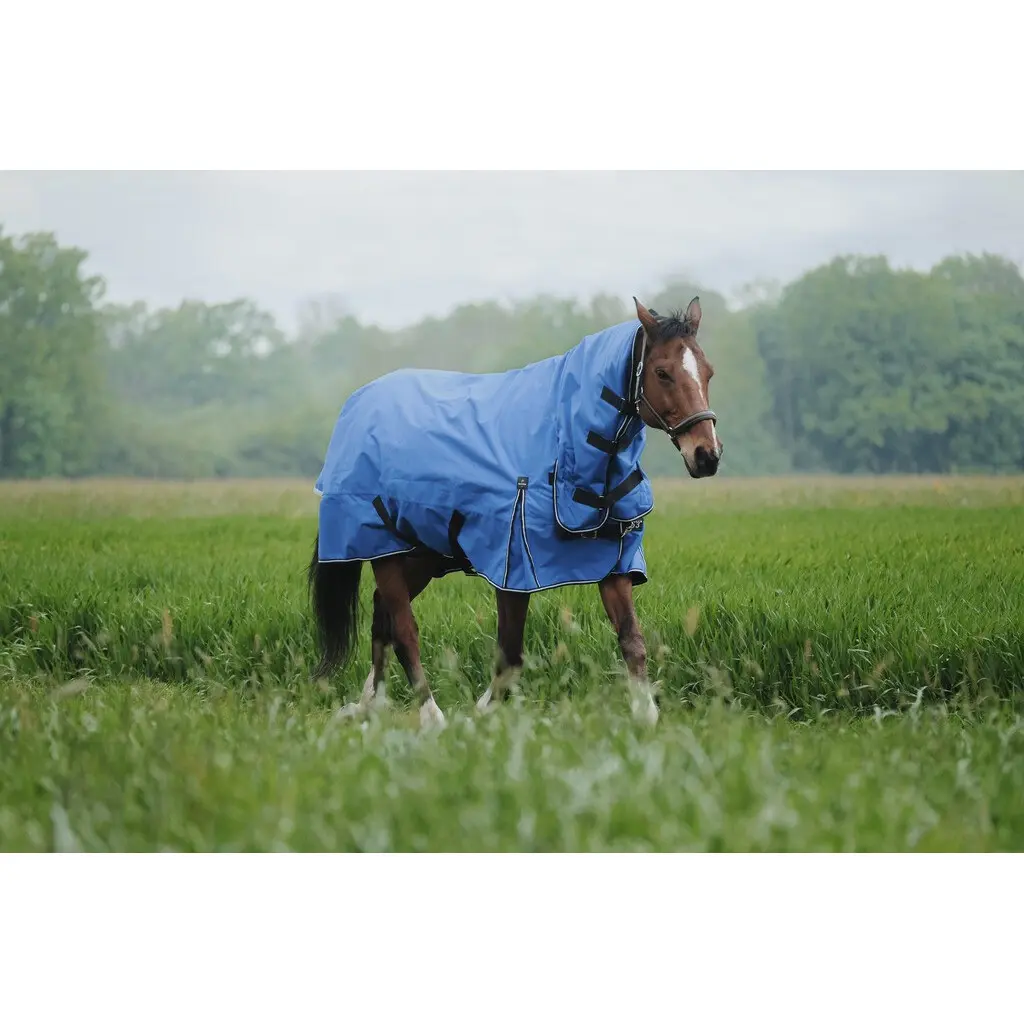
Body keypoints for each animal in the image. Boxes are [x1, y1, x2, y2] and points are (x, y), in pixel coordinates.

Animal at [307, 296, 722, 727]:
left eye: (708, 371)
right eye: (662, 372)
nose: (706, 456)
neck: (565, 444)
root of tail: (356, 406)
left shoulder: (614, 563)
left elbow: (632, 642)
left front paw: (645, 716)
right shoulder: (513, 568)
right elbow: (510, 655)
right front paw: (480, 714)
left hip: (418, 554)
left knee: (381, 617)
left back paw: (367, 704)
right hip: (383, 549)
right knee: (404, 630)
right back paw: (431, 717)